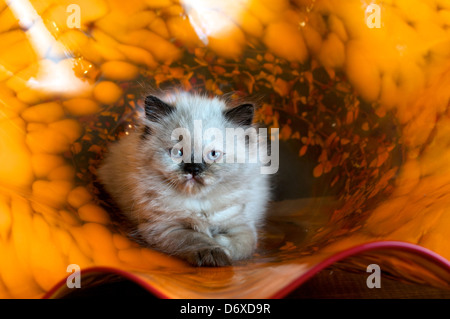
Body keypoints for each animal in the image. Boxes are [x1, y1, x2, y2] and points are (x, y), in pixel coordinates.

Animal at [97, 91, 270, 266]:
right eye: (177, 152)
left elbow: (242, 245)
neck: (199, 203)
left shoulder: (241, 224)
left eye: (213, 154)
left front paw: (220, 245)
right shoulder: (166, 227)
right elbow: (196, 238)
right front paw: (215, 253)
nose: (193, 168)